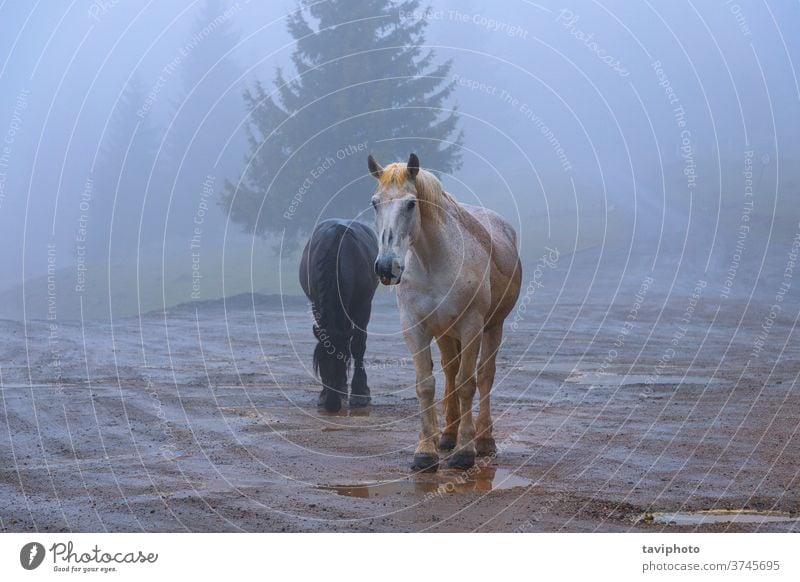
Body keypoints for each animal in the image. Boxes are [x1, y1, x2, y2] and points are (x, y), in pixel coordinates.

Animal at [300, 220, 378, 416]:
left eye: (344, 360)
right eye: (320, 363)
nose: (332, 405)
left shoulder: (363, 305)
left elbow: (358, 345)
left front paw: (360, 393)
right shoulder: (317, 304)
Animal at [368, 153, 520, 472]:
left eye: (411, 203)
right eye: (375, 202)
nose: (387, 267)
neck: (434, 263)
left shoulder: (472, 325)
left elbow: (467, 384)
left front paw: (465, 452)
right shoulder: (415, 327)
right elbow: (427, 384)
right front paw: (425, 451)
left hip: (492, 327)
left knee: (484, 376)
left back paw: (483, 440)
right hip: (446, 333)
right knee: (451, 371)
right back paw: (448, 435)